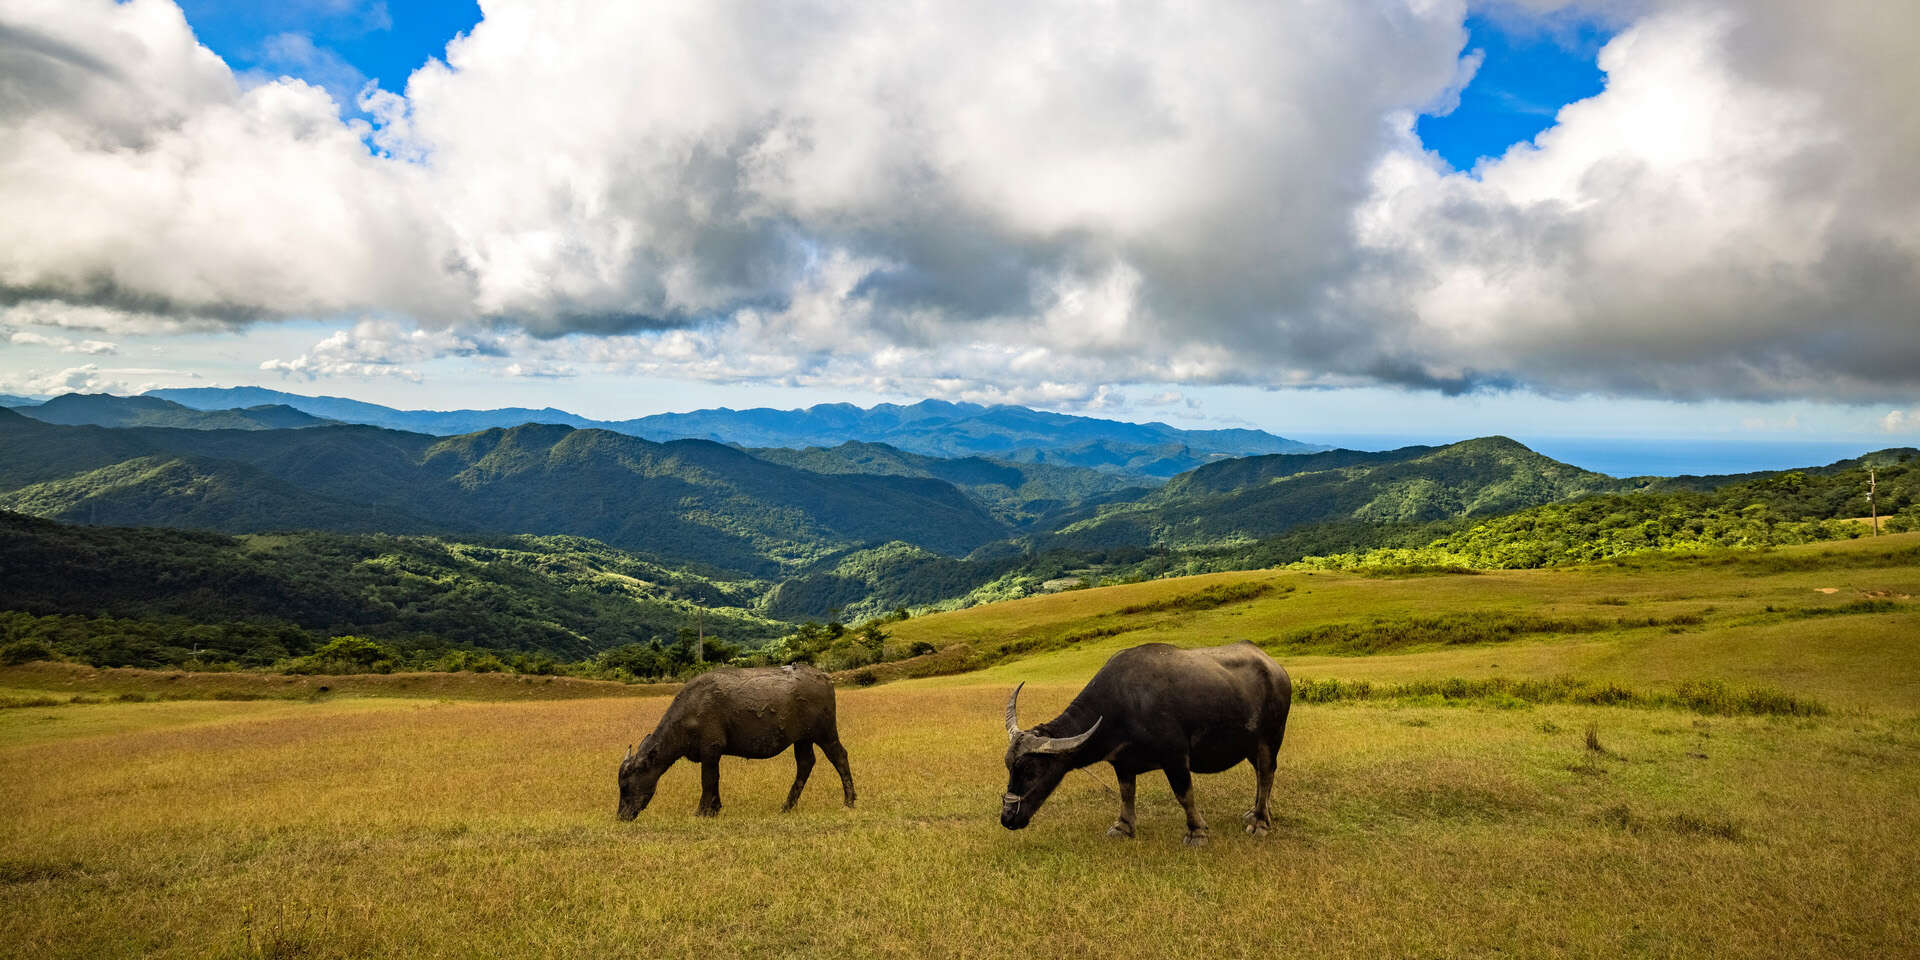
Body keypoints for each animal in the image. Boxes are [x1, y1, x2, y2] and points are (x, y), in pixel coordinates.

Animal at [614, 668, 856, 817]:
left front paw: (702, 811)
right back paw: (787, 805)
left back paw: (849, 801)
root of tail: (824, 677)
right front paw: (715, 808)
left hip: (825, 733)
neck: (689, 712)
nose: (621, 816)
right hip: (802, 739)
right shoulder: (712, 755)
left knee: (840, 757)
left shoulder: (710, 750)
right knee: (805, 763)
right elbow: (715, 780)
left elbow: (708, 780)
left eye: (625, 787)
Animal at [998, 641, 1297, 844]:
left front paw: (1197, 832)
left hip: (1271, 737)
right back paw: (1258, 812)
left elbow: (1184, 794)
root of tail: (1276, 669)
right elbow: (1126, 793)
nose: (1007, 818)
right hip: (1251, 746)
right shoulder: (1122, 763)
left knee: (1266, 773)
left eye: (1031, 770)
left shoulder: (1176, 757)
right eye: (1009, 766)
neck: (1123, 704)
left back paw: (1259, 823)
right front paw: (1123, 827)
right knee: (1262, 774)